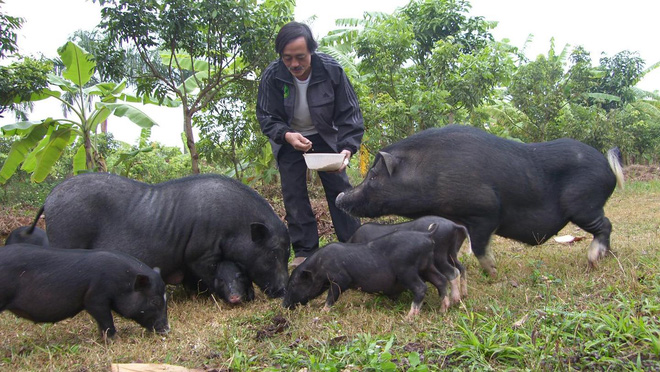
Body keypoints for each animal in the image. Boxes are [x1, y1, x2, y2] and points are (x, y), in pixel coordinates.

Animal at [0, 243, 169, 338]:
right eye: (155, 301)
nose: (167, 330)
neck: (123, 282)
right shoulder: (95, 298)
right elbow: (106, 320)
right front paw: (115, 339)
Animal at [41, 173, 288, 298]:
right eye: (272, 253)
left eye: (287, 254)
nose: (283, 290)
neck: (235, 227)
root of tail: (50, 197)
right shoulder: (200, 254)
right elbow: (209, 274)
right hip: (67, 238)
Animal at [282, 228, 452, 318]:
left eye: (293, 284)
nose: (283, 305)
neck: (319, 266)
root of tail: (427, 235)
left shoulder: (340, 278)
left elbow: (332, 295)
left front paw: (322, 312)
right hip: (427, 266)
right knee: (441, 280)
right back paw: (443, 310)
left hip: (407, 270)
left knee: (421, 288)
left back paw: (408, 317)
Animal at [336, 125, 624, 276]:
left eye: (373, 176)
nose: (340, 196)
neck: (429, 172)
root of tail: (607, 165)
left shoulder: (485, 212)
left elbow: (480, 246)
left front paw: (492, 271)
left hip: (584, 204)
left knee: (606, 225)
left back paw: (593, 260)